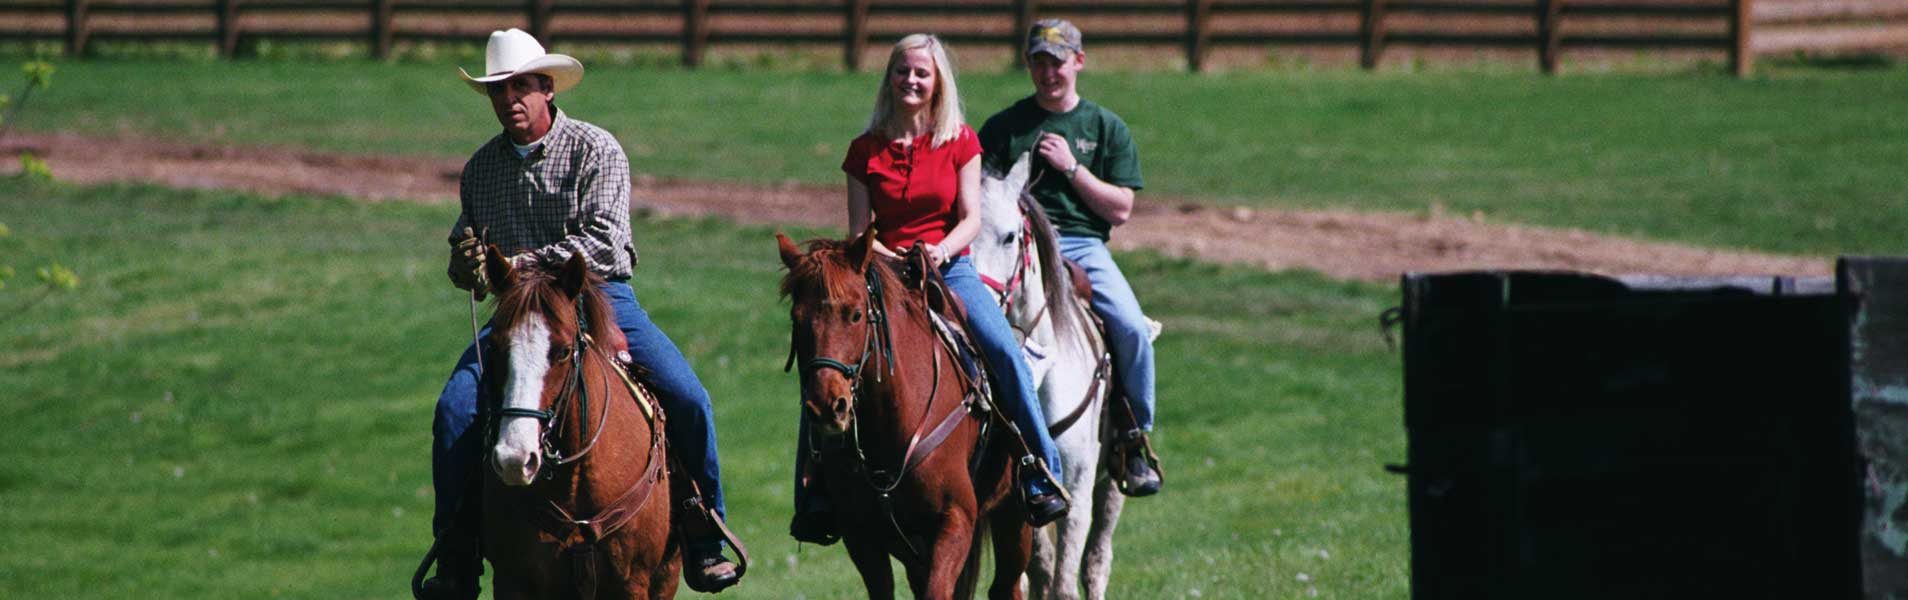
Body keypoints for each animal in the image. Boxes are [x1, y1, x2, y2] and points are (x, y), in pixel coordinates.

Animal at [778, 231, 1037, 600]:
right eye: (796, 319)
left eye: (855, 315)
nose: (828, 406)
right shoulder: (862, 536)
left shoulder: (955, 519)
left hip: (1014, 519)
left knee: (1006, 586)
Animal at [976, 153, 1137, 600]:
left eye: (1010, 237)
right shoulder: (1022, 493)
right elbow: (1040, 572)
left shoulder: (1078, 487)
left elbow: (1065, 579)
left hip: (1112, 480)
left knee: (1097, 561)